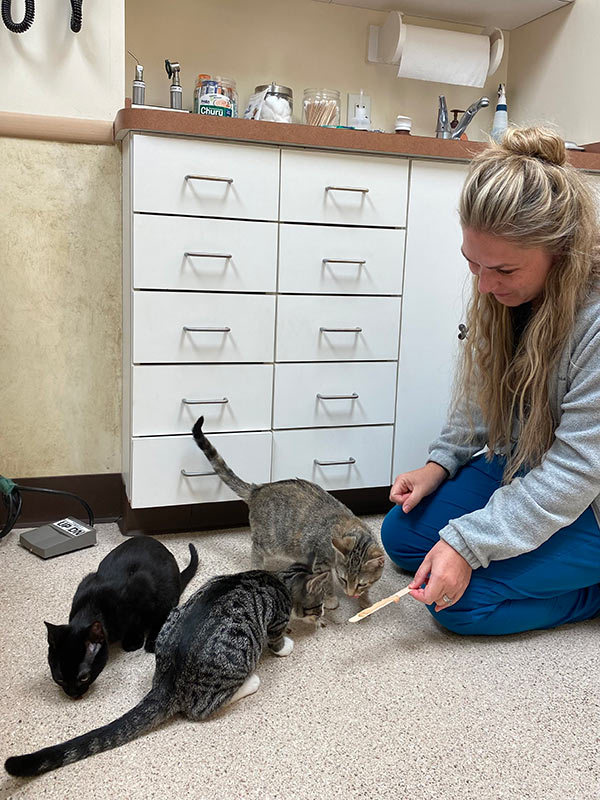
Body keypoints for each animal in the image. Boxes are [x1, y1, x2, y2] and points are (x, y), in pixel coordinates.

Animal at [45, 536, 199, 700]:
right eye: (59, 679)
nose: (72, 694)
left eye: (84, 677)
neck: (92, 604)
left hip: (166, 594)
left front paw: (133, 640)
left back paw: (152, 640)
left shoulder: (142, 587)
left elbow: (137, 621)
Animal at [195, 416, 386, 608]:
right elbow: (327, 582)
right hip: (270, 542)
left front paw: (366, 601)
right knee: (256, 549)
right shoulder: (322, 561)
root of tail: (257, 490)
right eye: (344, 580)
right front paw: (331, 599)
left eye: (361, 584)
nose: (350, 593)